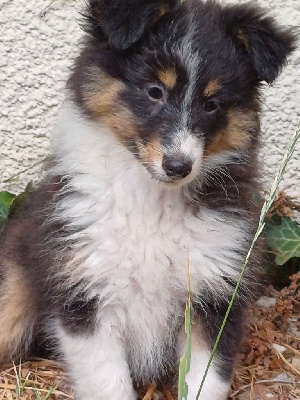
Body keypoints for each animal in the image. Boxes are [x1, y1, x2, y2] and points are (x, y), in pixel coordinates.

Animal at [0, 0, 296, 400]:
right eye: (155, 91)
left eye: (212, 104)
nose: (178, 166)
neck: (151, 199)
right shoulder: (86, 293)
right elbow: (108, 382)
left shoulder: (214, 295)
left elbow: (206, 380)